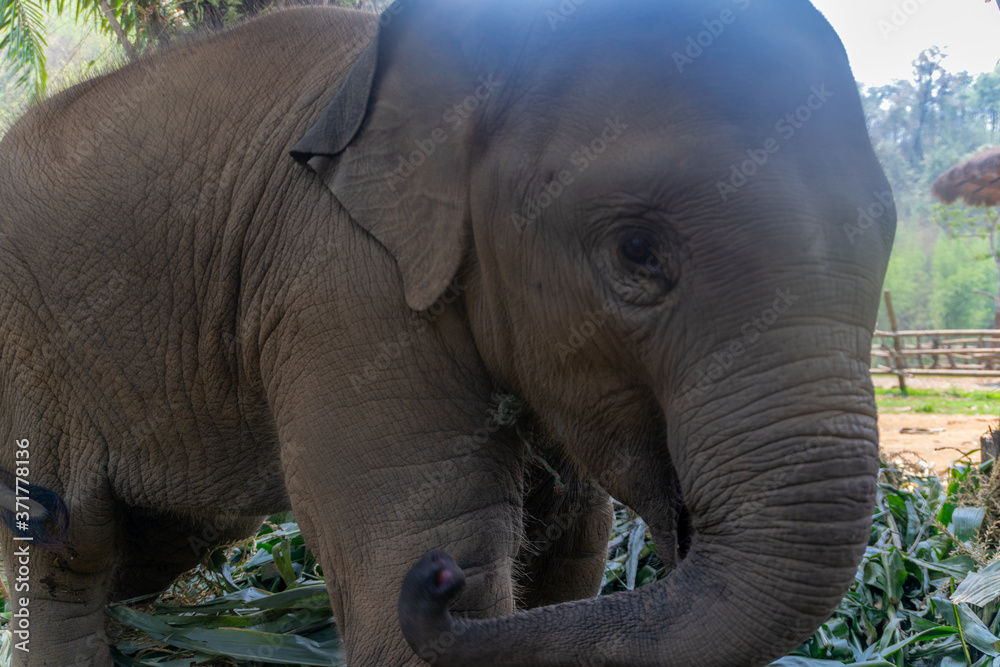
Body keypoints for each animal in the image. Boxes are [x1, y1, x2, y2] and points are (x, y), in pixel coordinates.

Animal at [0, 0, 895, 664]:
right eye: (638, 249)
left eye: (883, 235)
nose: (437, 588)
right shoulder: (344, 286)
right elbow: (418, 542)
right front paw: (433, 572)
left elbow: (572, 543)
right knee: (72, 552)